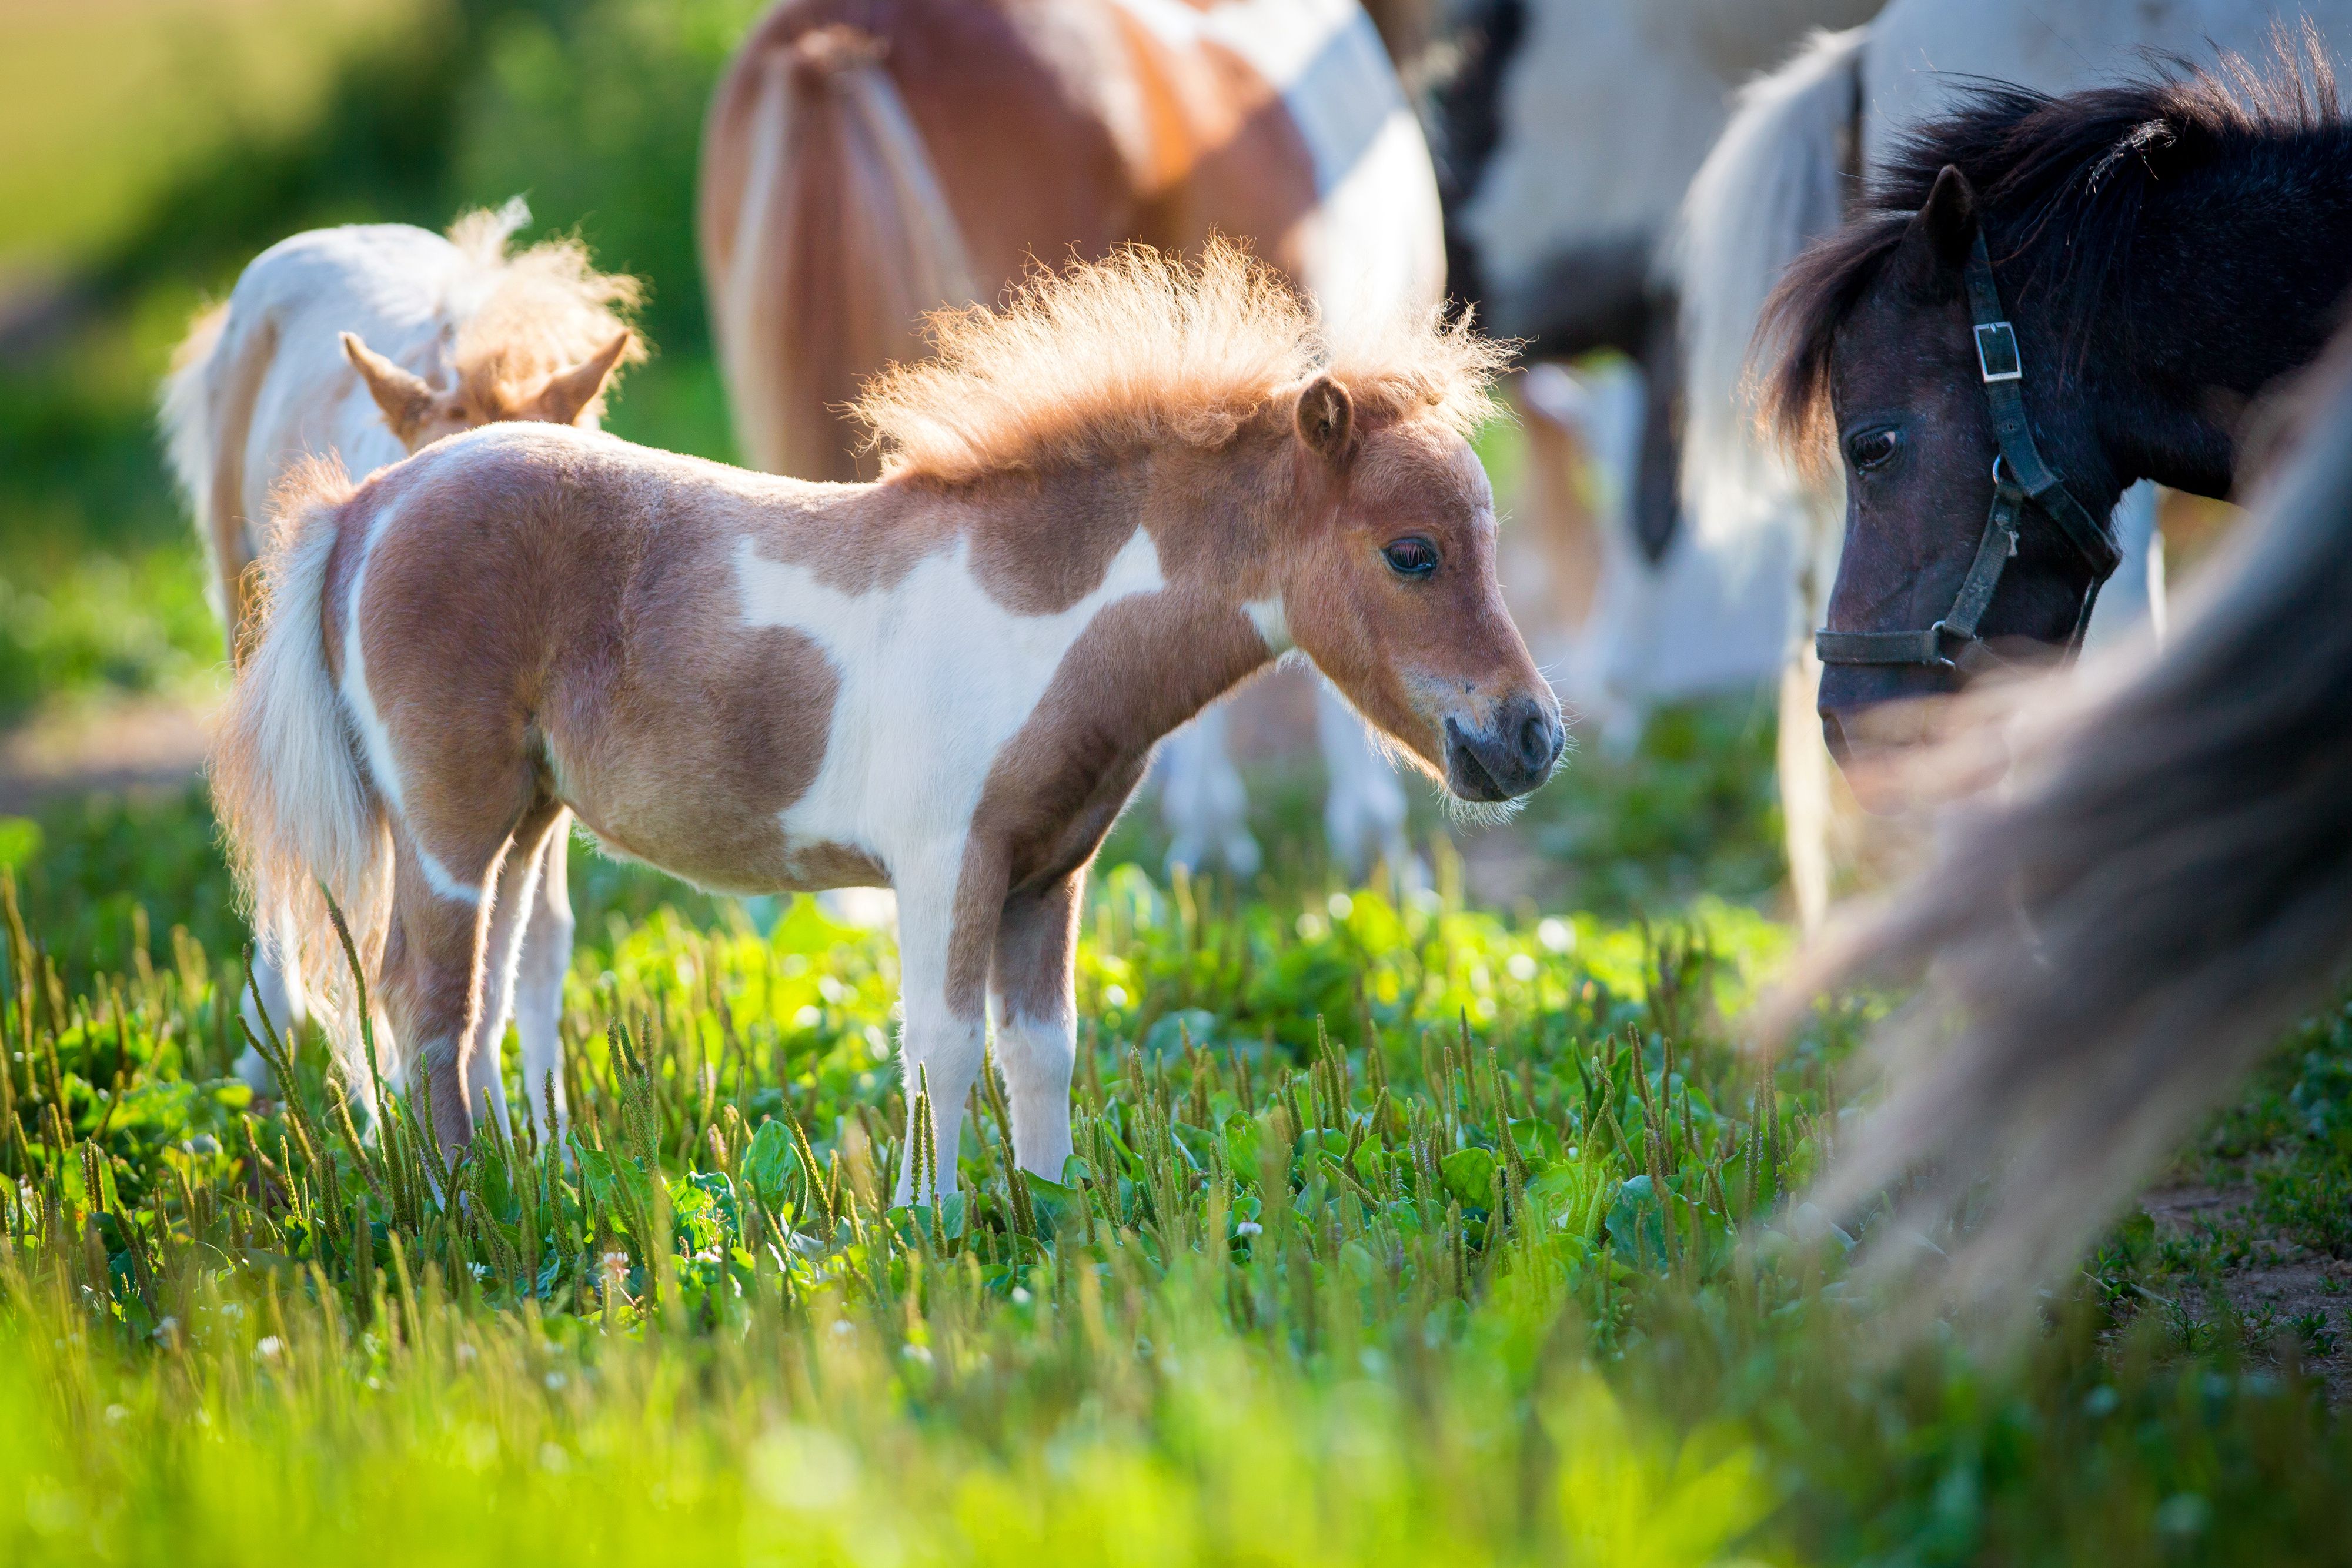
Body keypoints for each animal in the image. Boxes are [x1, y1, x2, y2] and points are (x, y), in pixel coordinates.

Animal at [207, 245, 1562, 1189]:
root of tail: (370, 503)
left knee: (485, 1001)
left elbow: (1042, 1048)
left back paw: (522, 1183)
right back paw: (463, 1206)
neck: (1036, 613)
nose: (1532, 737)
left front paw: (1048, 1217)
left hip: (529, 822)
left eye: (1490, 540)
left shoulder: (1048, 875)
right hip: (445, 822)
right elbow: (942, 1044)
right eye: (1411, 552)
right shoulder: (945, 861)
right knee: (420, 999)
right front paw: (931, 1225)